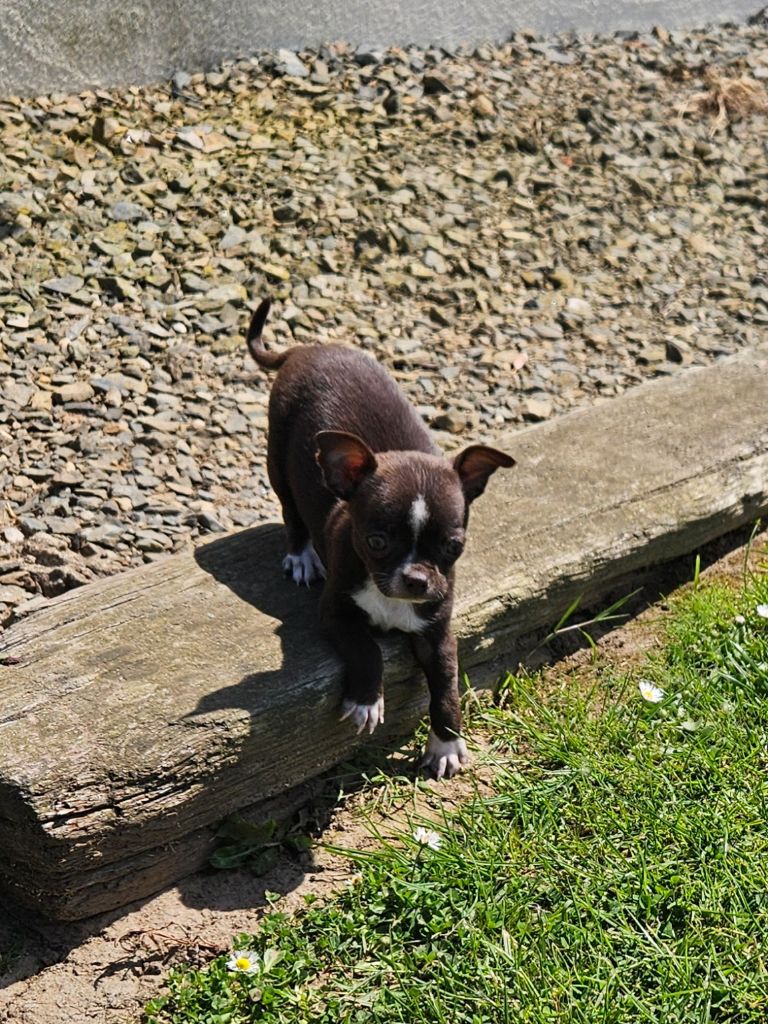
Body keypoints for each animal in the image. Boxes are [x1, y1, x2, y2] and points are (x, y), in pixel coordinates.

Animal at [246, 298, 515, 778]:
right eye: (375, 542)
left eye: (454, 547)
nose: (416, 579)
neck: (391, 599)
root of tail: (309, 347)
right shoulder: (335, 613)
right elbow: (366, 647)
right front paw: (367, 701)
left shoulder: (437, 632)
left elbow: (446, 684)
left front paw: (446, 743)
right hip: (277, 454)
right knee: (291, 509)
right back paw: (301, 556)